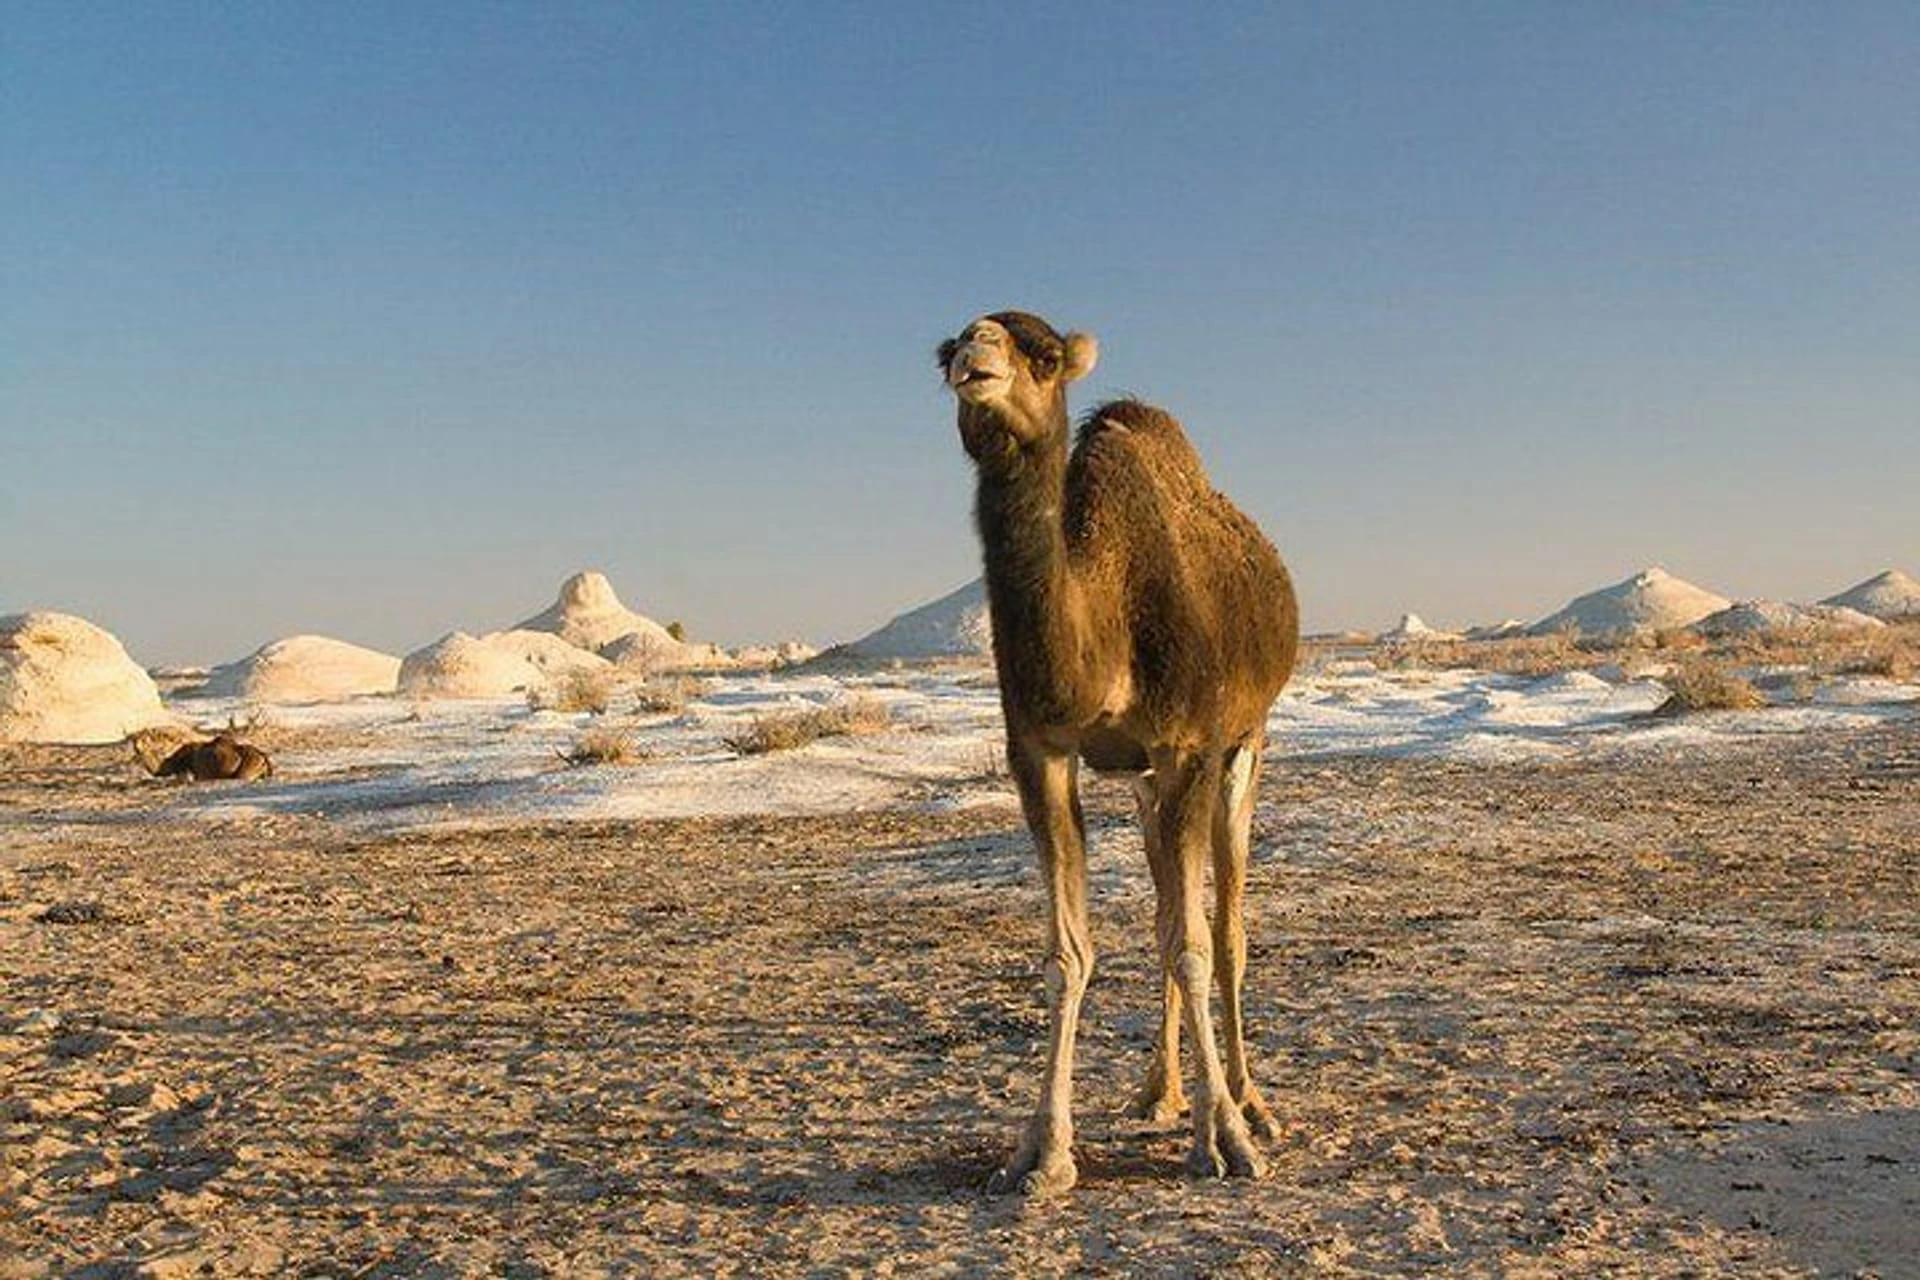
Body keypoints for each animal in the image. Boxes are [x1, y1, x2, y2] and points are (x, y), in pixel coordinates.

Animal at [936, 310, 1297, 1189]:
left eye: (1040, 354)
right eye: (944, 351)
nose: (975, 356)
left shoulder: (1190, 746)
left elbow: (1194, 944)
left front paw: (1225, 1139)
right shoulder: (1040, 752)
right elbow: (1070, 953)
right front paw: (1041, 1152)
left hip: (1245, 746)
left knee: (1226, 929)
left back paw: (1251, 1103)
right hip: (1144, 785)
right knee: (1169, 908)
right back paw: (1158, 1091)